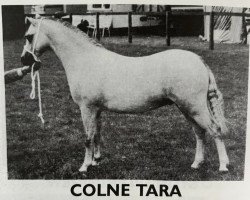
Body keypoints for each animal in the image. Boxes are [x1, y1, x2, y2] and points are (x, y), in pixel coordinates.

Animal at [20, 16, 229, 175]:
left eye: (29, 36)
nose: (24, 60)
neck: (85, 60)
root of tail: (199, 60)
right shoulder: (96, 110)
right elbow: (96, 135)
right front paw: (96, 160)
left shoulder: (87, 108)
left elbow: (87, 138)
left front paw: (84, 166)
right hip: (187, 108)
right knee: (200, 133)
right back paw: (197, 163)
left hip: (194, 107)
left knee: (215, 130)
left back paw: (223, 166)